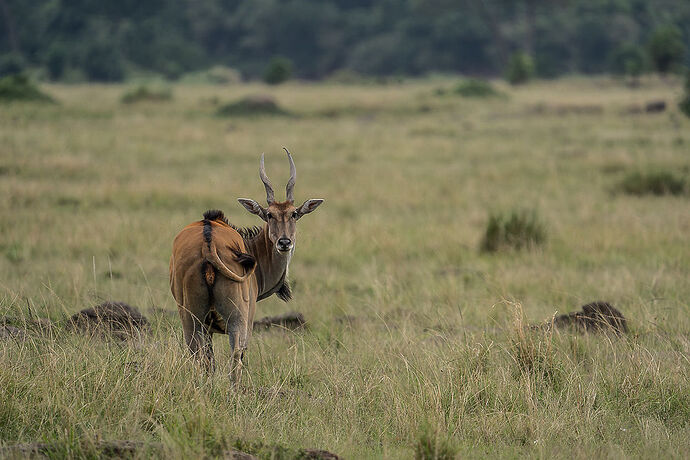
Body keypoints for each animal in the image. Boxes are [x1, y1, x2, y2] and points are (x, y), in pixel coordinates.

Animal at [171, 149, 324, 380]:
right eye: (269, 214)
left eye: (294, 214)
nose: (284, 242)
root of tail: (208, 246)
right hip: (238, 321)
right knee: (235, 358)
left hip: (192, 321)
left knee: (197, 357)